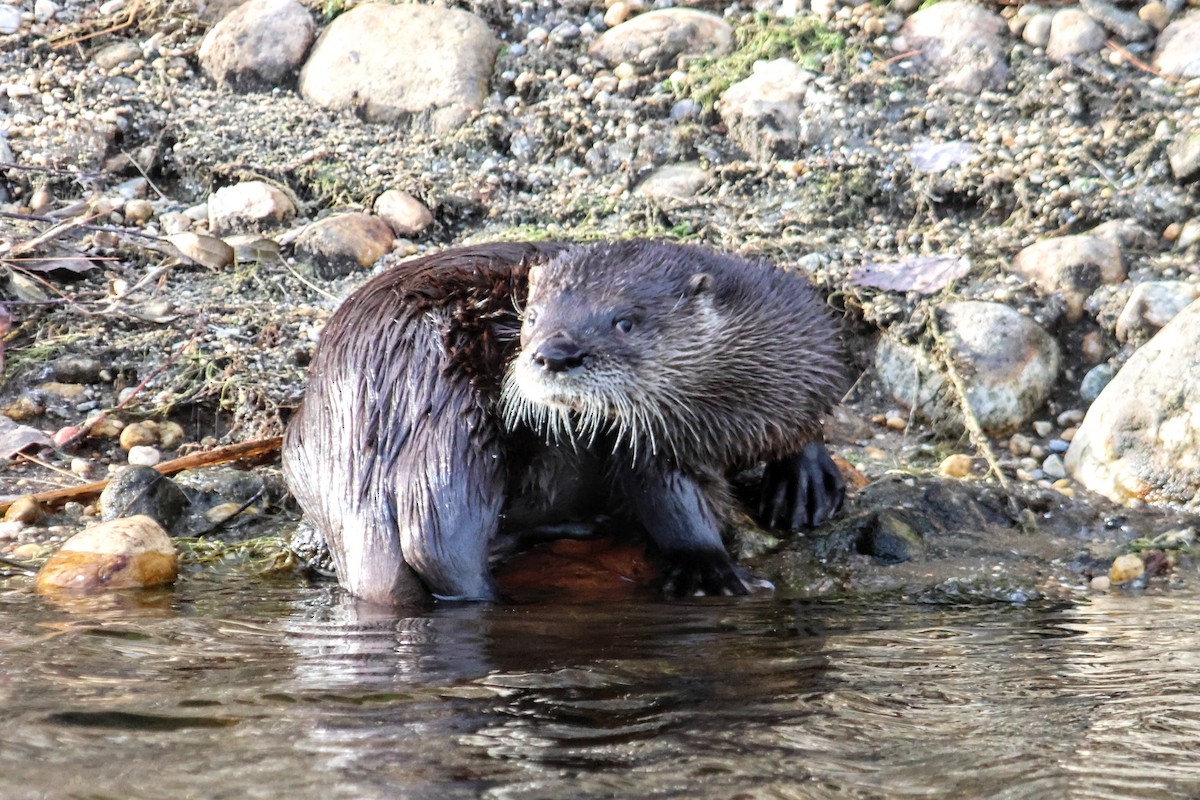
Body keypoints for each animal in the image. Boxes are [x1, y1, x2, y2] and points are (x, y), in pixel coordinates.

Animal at [283, 240, 845, 605]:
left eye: (625, 321)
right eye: (531, 317)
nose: (554, 353)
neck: (723, 414)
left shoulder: (806, 338)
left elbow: (810, 414)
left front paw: (804, 480)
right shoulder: (647, 442)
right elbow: (669, 501)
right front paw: (710, 569)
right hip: (454, 421)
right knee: (439, 536)